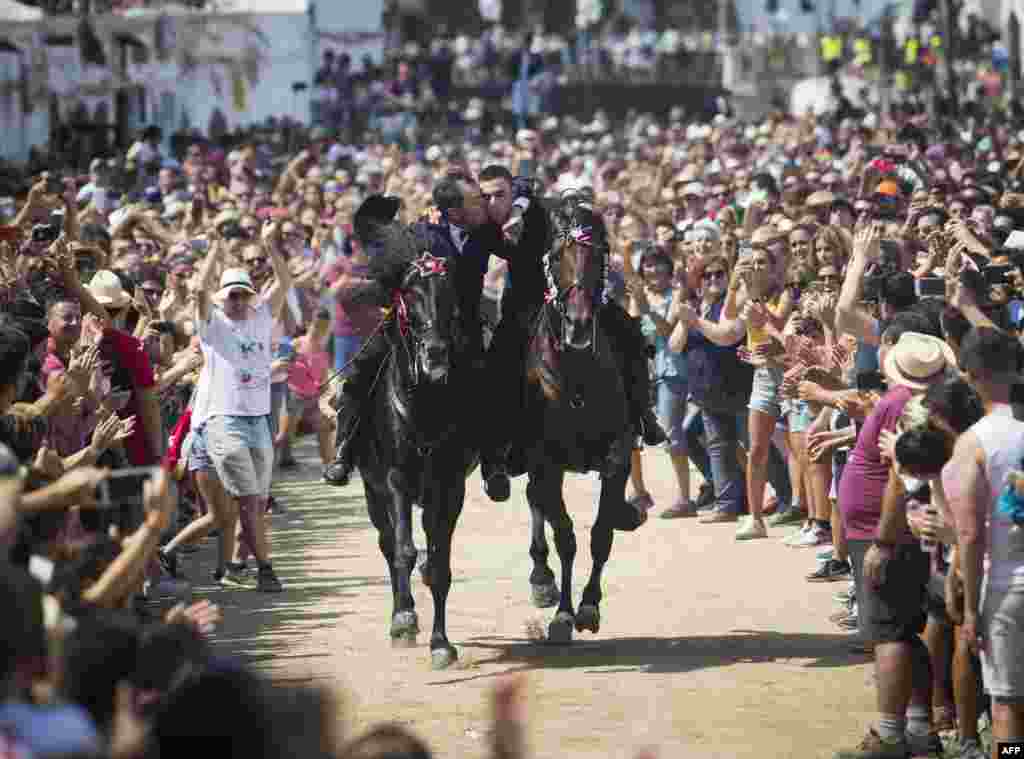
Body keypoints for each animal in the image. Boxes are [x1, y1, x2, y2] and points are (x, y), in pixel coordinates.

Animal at [350, 225, 477, 667]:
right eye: (410, 293)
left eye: (449, 292)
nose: (435, 353)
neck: (424, 406)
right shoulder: (395, 480)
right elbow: (403, 551)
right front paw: (404, 620)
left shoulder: (449, 485)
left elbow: (439, 563)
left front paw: (441, 644)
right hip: (373, 491)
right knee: (389, 545)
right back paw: (401, 614)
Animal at [512, 198, 638, 643]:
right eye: (555, 257)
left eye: (599, 256)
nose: (580, 325)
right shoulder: (544, 461)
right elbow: (565, 535)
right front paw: (564, 613)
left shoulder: (617, 455)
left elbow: (601, 533)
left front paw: (588, 606)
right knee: (537, 503)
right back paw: (541, 578)